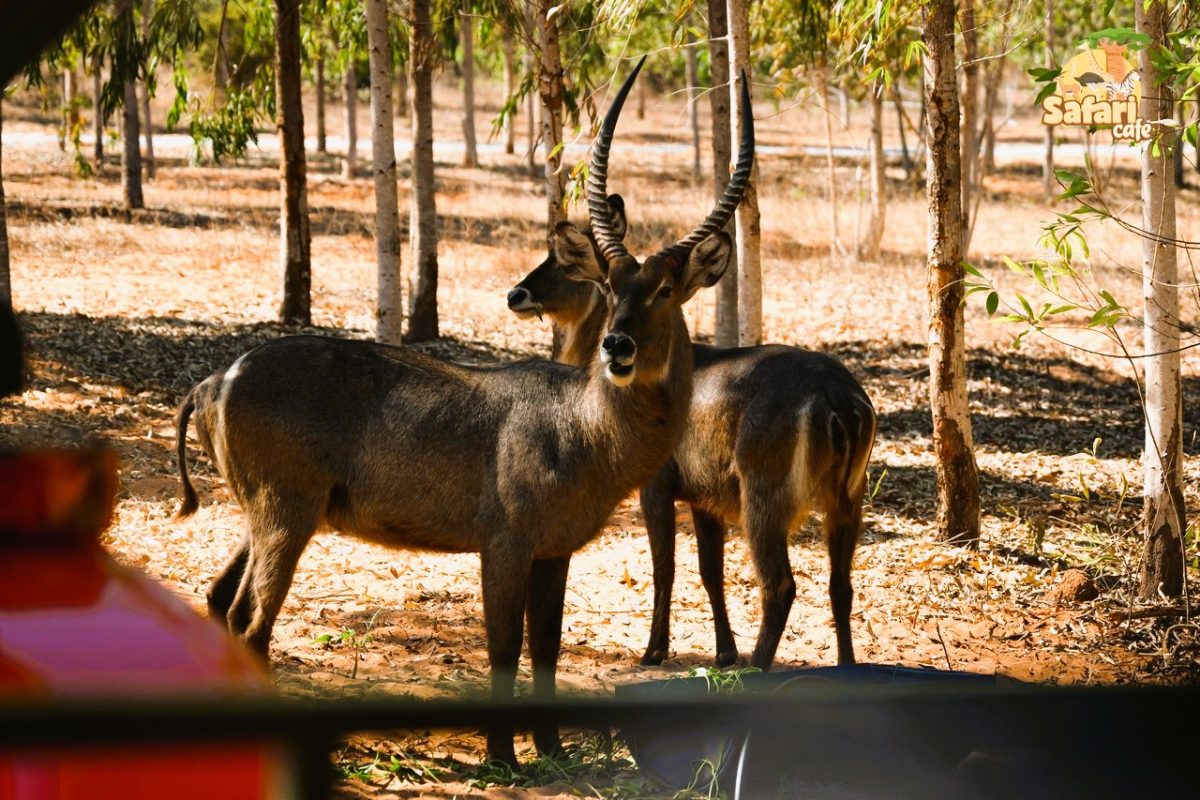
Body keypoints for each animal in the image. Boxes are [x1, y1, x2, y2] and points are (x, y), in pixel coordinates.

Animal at [175, 59, 753, 767]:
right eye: (611, 286)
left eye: (665, 289)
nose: (617, 345)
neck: (581, 423)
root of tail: (217, 378)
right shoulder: (504, 545)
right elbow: (503, 649)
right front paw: (503, 758)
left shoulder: (552, 552)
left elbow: (546, 650)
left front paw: (553, 752)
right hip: (285, 514)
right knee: (251, 621)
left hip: (267, 513)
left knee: (221, 601)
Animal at [501, 199, 878, 671]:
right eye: (610, 284)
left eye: (560, 263)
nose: (516, 294)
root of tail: (839, 399)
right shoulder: (705, 498)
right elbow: (710, 570)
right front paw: (724, 651)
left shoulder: (657, 485)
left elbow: (665, 566)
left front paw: (654, 650)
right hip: (848, 499)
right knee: (841, 585)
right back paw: (844, 668)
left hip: (765, 498)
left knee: (780, 586)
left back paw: (755, 667)